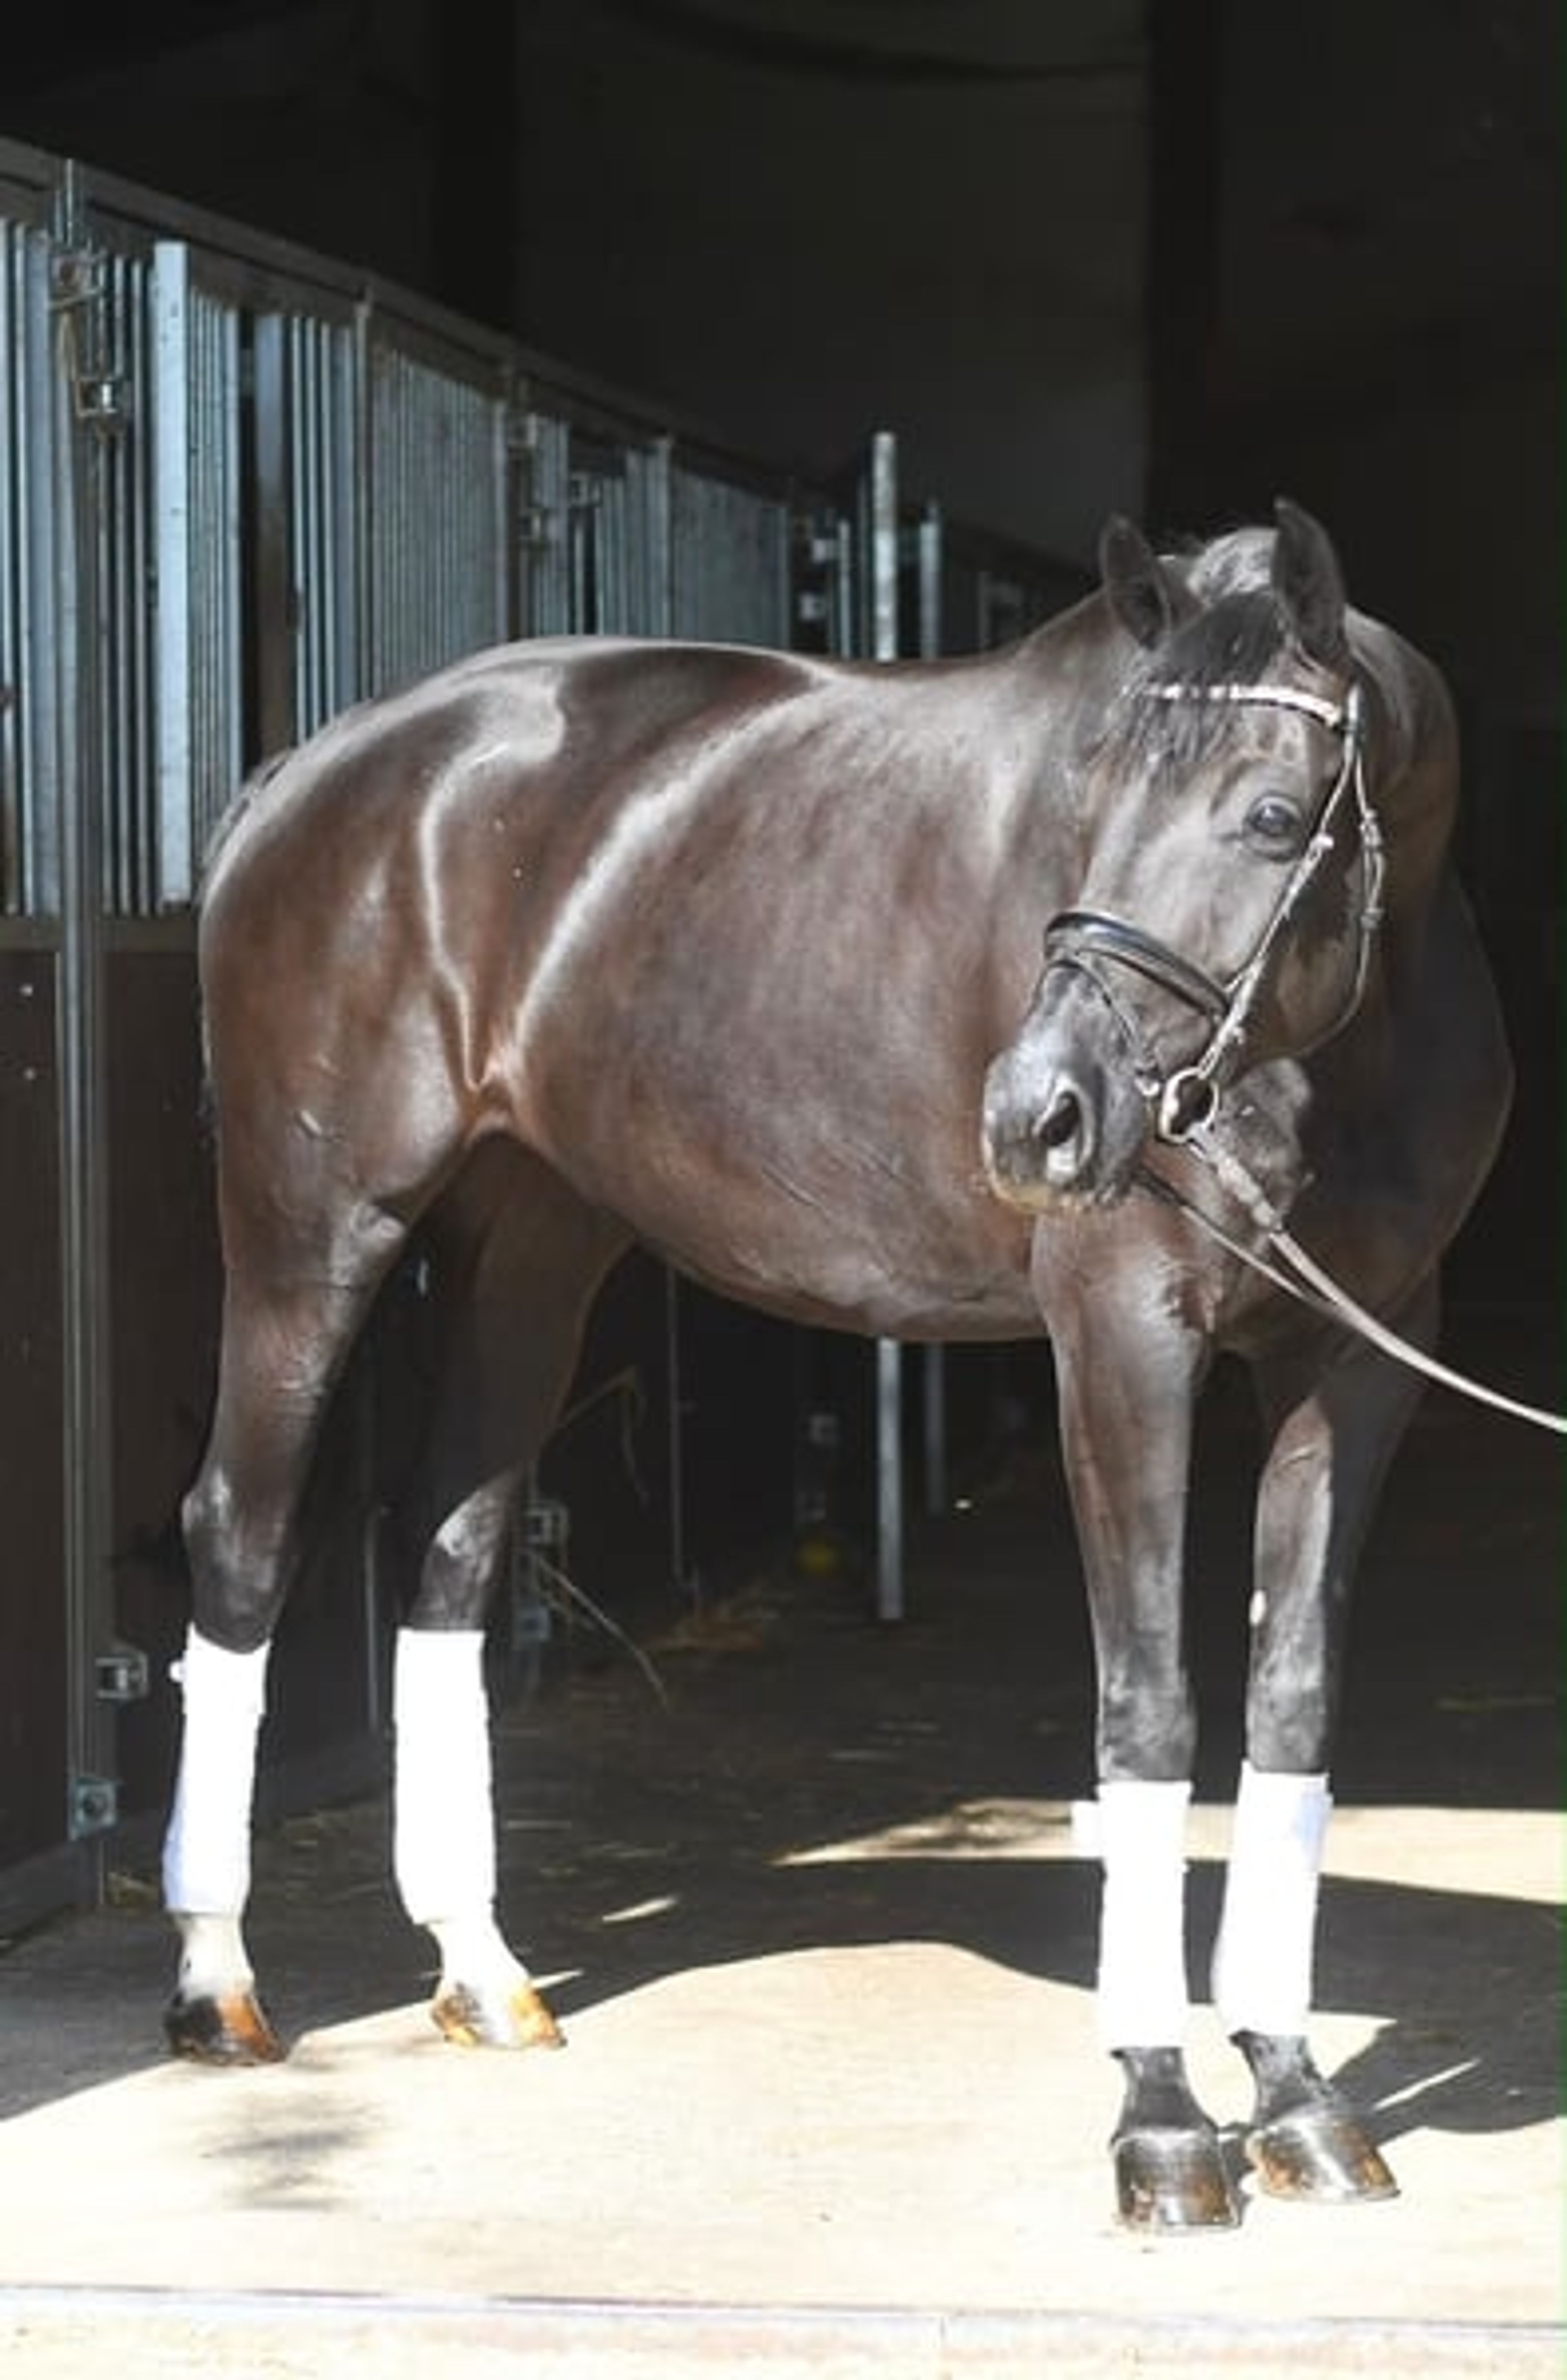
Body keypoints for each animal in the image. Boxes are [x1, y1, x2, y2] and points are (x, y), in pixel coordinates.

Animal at [160, 499, 1510, 2232]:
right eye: (1088, 800)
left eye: (1277, 817)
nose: (1039, 1118)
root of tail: (314, 774)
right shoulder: (1123, 1337)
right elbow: (1149, 1703)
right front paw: (1160, 2121)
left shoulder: (1359, 1359)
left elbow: (1293, 1700)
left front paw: (1297, 2095)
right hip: (312, 1231)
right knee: (242, 1541)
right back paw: (218, 1984)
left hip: (535, 1245)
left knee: (451, 1547)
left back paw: (481, 1971)